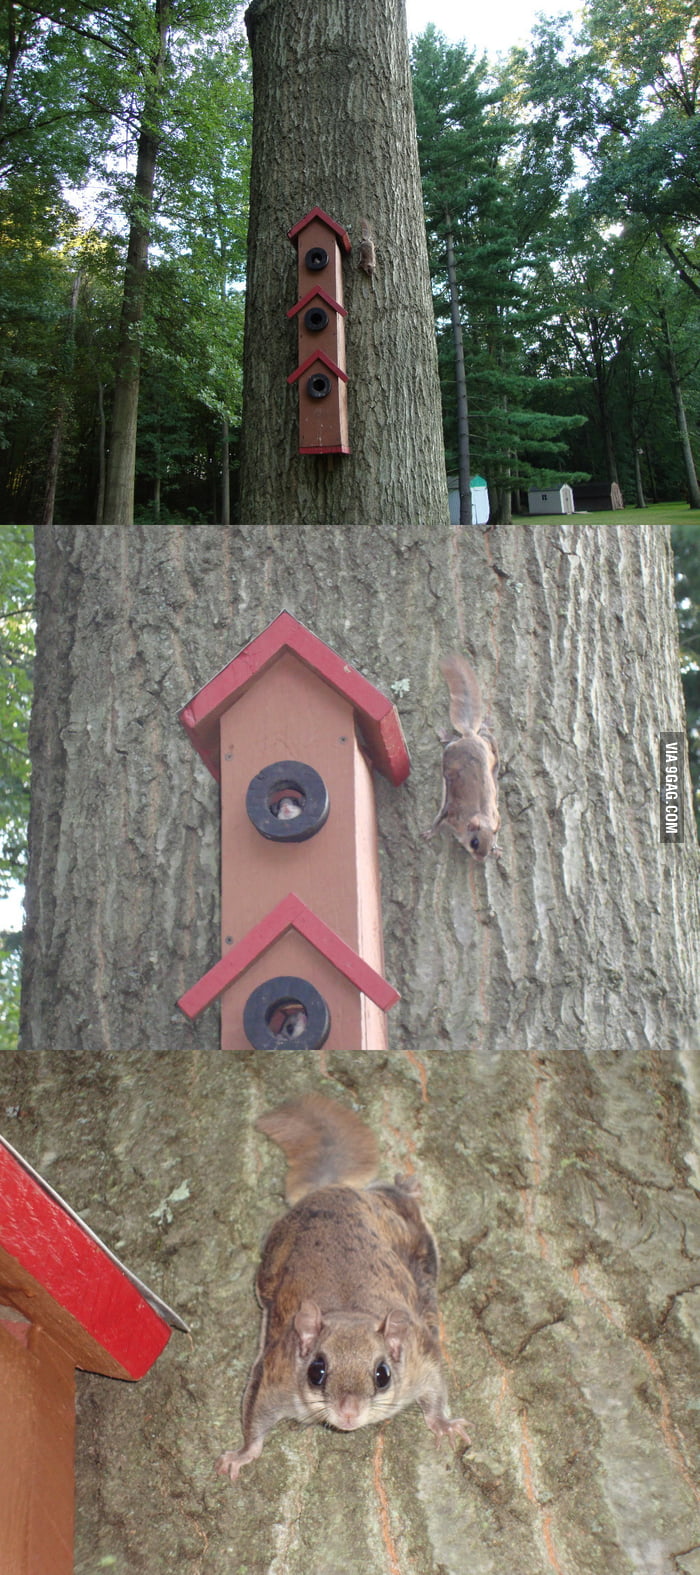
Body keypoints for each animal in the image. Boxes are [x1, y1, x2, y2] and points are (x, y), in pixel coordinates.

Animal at [216, 1094, 470, 1484]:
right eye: (316, 1372)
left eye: (382, 1375)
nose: (348, 1413)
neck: (349, 1313)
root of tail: (329, 1189)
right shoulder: (273, 1377)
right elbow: (254, 1418)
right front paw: (242, 1455)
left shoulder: (421, 1357)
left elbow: (436, 1389)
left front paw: (443, 1424)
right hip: (270, 1268)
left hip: (410, 1235)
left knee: (395, 1198)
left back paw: (406, 1186)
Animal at [426, 653, 501, 861]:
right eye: (474, 842)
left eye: (490, 843)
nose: (481, 859)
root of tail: (469, 736)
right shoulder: (451, 814)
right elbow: (438, 821)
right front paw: (429, 833)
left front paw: (498, 850)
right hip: (451, 752)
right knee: (453, 741)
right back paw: (447, 735)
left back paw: (486, 724)